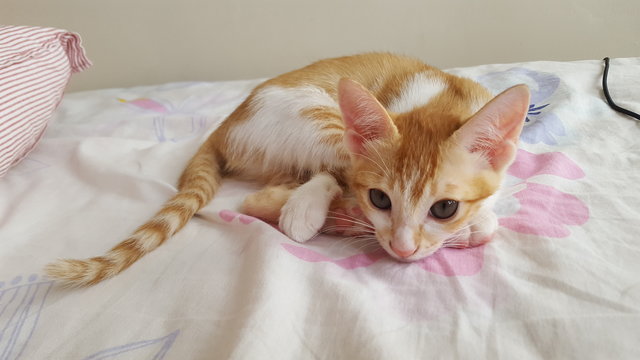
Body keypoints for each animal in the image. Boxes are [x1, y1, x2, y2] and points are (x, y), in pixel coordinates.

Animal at [45, 52, 528, 286]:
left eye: (444, 207)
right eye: (380, 199)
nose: (402, 249)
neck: (440, 98)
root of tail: (226, 124)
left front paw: (470, 221)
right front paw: (472, 226)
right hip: (316, 115)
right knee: (316, 175)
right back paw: (306, 214)